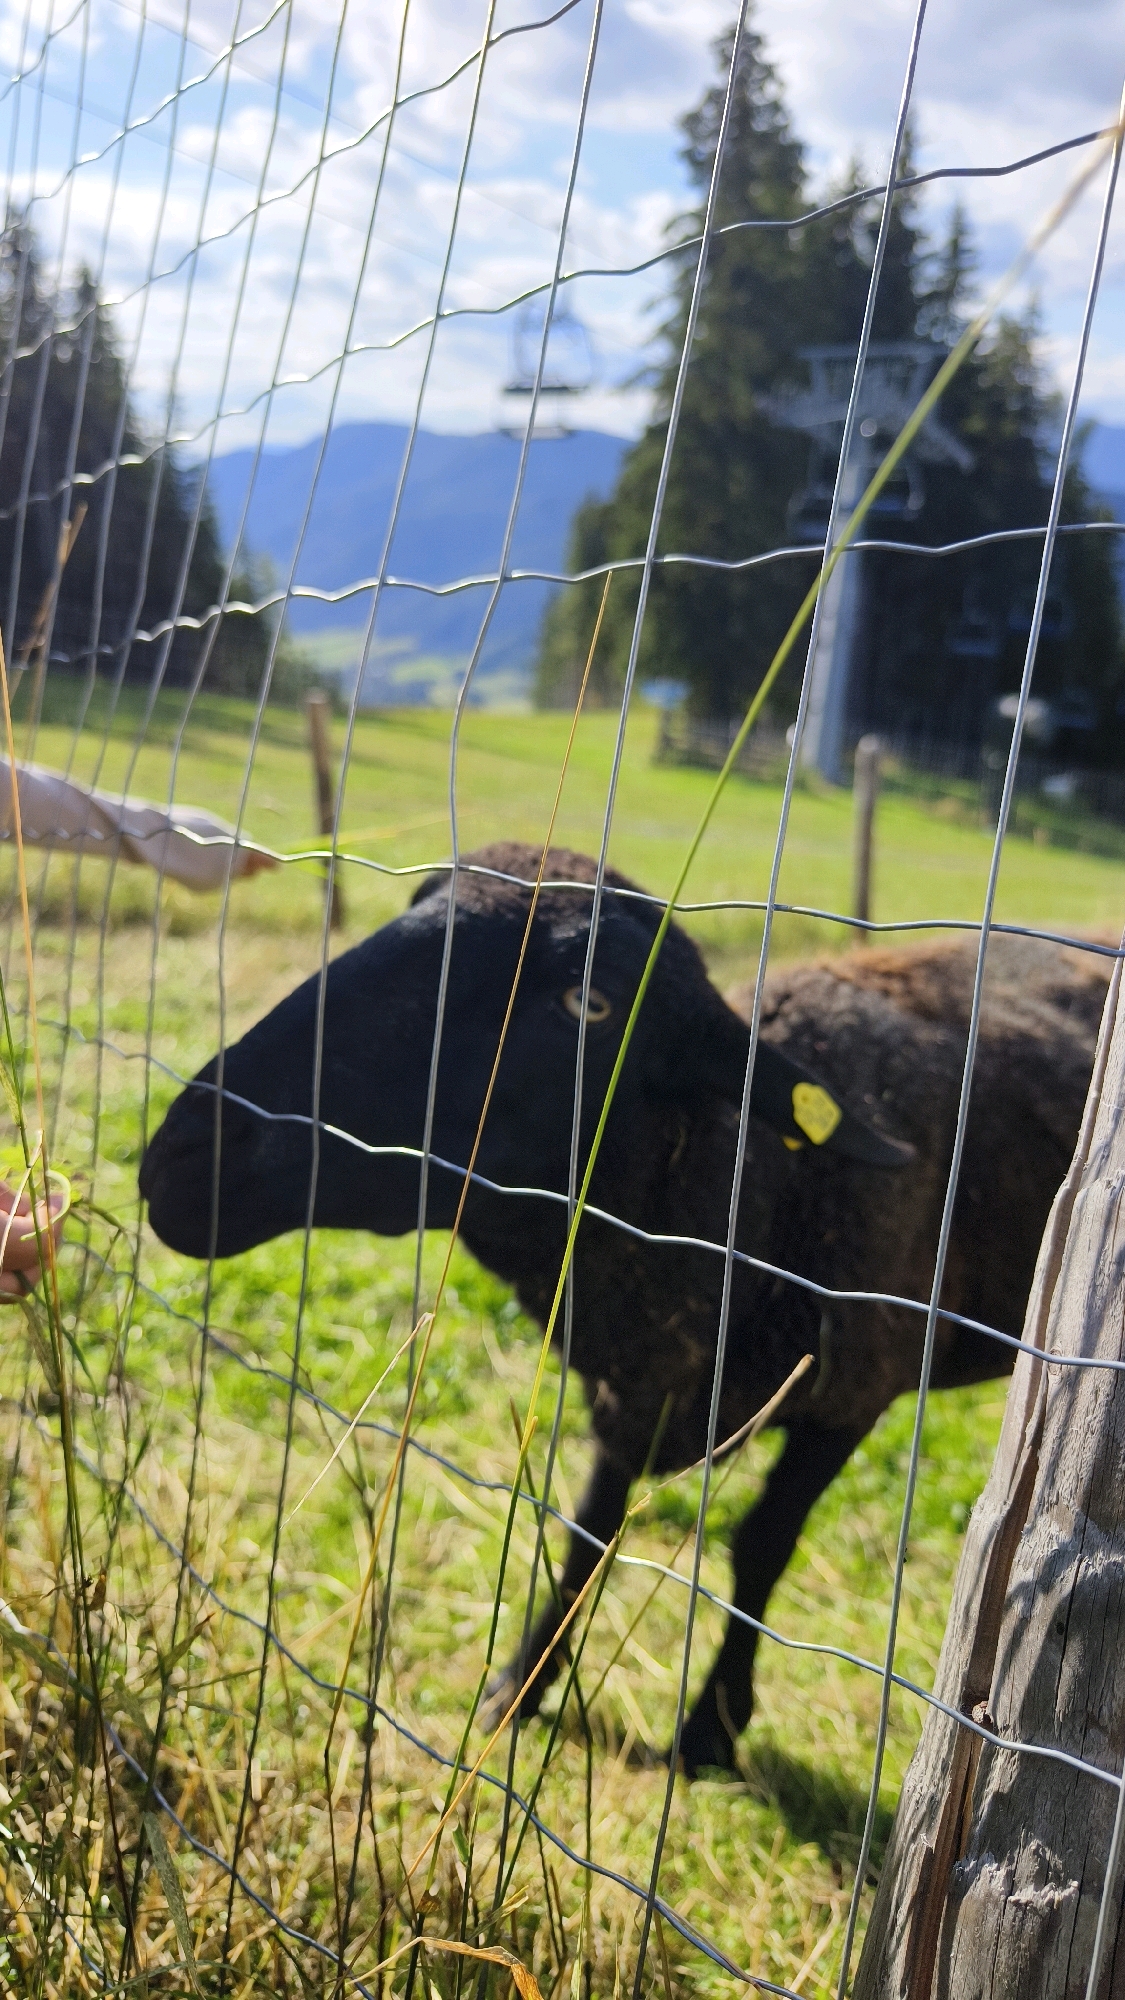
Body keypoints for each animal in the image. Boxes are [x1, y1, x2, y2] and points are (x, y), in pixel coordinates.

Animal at [139, 842, 1109, 1774]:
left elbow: (759, 1546)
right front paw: (519, 1689)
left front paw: (711, 1730)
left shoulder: (850, 1394)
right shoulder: (637, 1382)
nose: (185, 1150)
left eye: (590, 1005)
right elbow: (584, 1536)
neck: (750, 1177)